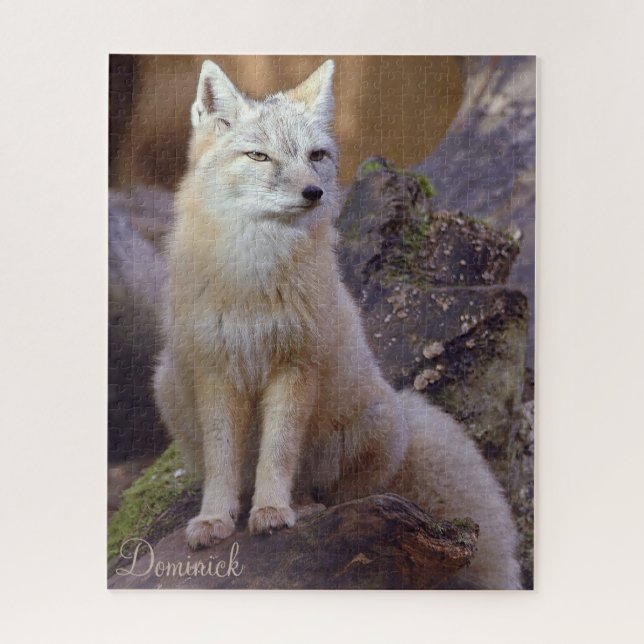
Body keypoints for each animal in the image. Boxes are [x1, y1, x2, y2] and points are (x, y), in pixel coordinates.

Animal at [153, 59, 522, 589]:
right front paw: (215, 519)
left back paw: (305, 507)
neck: (252, 277)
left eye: (317, 156)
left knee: (341, 498)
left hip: (375, 425)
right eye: (259, 156)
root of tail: (404, 407)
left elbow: (278, 451)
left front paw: (272, 511)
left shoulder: (295, 367)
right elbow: (223, 462)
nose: (315, 191)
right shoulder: (216, 370)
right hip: (167, 383)